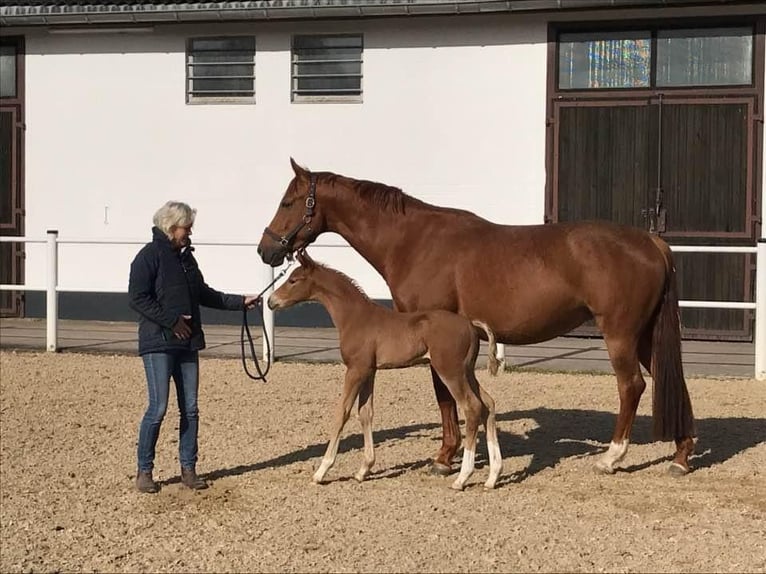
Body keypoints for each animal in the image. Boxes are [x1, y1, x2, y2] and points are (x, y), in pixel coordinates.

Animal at [270, 252, 504, 490]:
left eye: (293, 280)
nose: (271, 301)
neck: (354, 317)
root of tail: (470, 325)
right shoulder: (369, 371)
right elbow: (365, 413)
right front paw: (363, 470)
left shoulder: (355, 370)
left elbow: (342, 413)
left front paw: (321, 471)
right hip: (467, 372)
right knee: (488, 403)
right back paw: (493, 476)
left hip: (451, 371)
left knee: (472, 407)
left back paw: (462, 477)